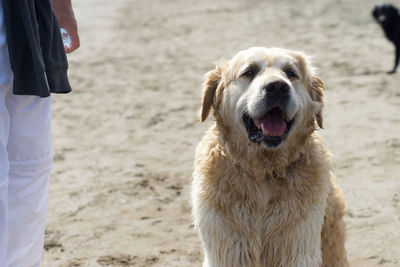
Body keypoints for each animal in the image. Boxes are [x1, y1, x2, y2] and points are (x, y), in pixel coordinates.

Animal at [192, 47, 348, 267]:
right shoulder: (227, 248)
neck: (263, 172)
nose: (278, 87)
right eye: (249, 72)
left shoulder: (298, 246)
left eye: (291, 73)